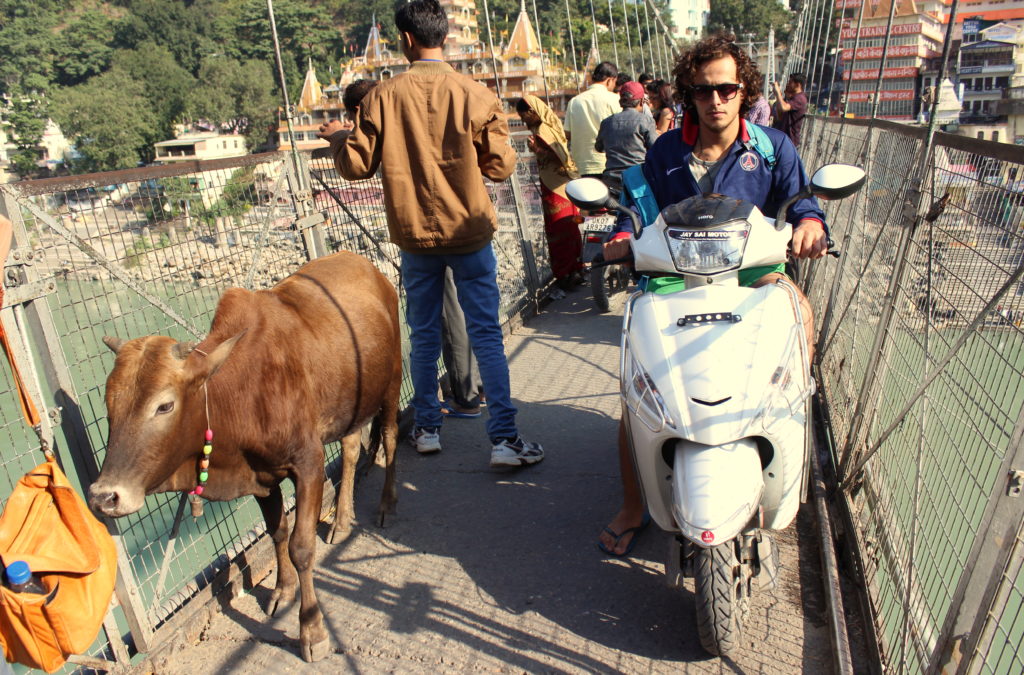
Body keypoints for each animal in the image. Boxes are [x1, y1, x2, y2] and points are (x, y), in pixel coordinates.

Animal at [88, 250, 401, 663]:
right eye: (109, 408)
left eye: (164, 405)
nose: (104, 496)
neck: (242, 391)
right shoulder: (260, 478)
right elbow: (278, 530)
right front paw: (283, 590)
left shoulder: (308, 464)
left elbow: (301, 546)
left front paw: (311, 630)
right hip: (351, 403)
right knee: (350, 450)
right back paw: (341, 520)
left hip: (392, 383)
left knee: (391, 438)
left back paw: (385, 505)